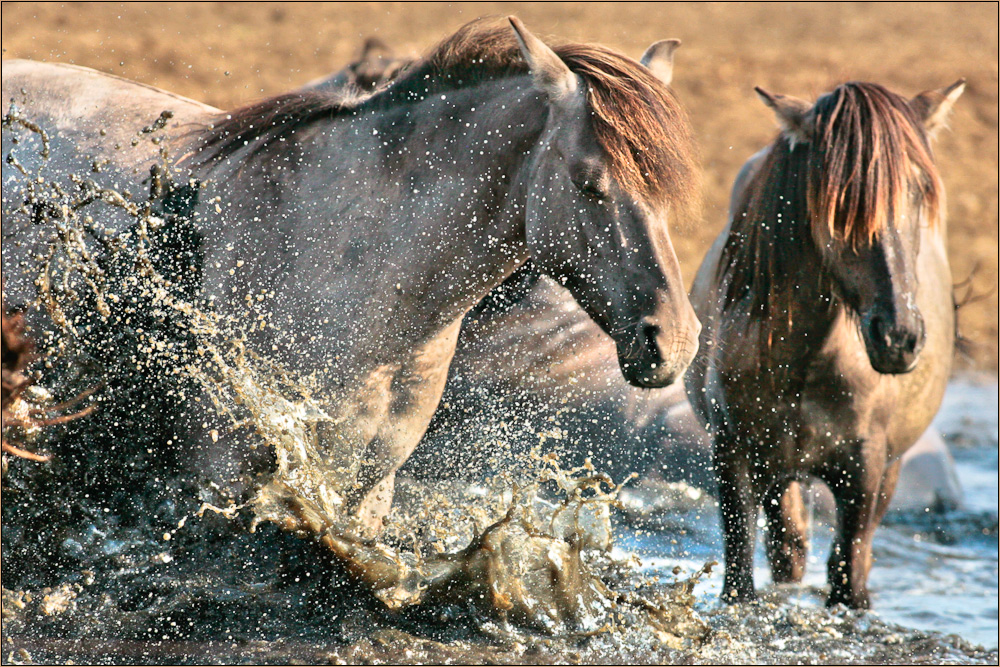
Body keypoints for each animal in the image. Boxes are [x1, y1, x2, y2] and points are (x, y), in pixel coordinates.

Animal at [688, 79, 960, 612]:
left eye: (920, 191)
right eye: (841, 200)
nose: (898, 337)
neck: (805, 361)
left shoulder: (865, 471)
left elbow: (848, 575)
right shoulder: (735, 455)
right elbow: (740, 573)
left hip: (887, 469)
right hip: (782, 473)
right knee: (788, 546)